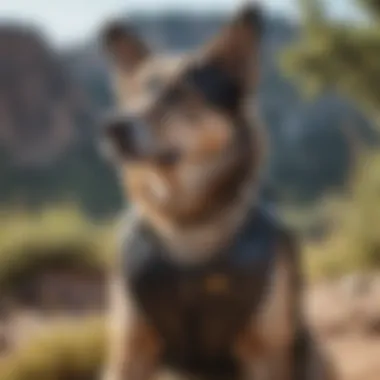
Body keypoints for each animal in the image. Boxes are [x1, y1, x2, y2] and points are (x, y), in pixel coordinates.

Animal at [100, 5, 336, 380]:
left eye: (180, 93)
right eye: (136, 93)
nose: (112, 127)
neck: (186, 223)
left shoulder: (266, 352)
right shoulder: (129, 349)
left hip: (315, 354)